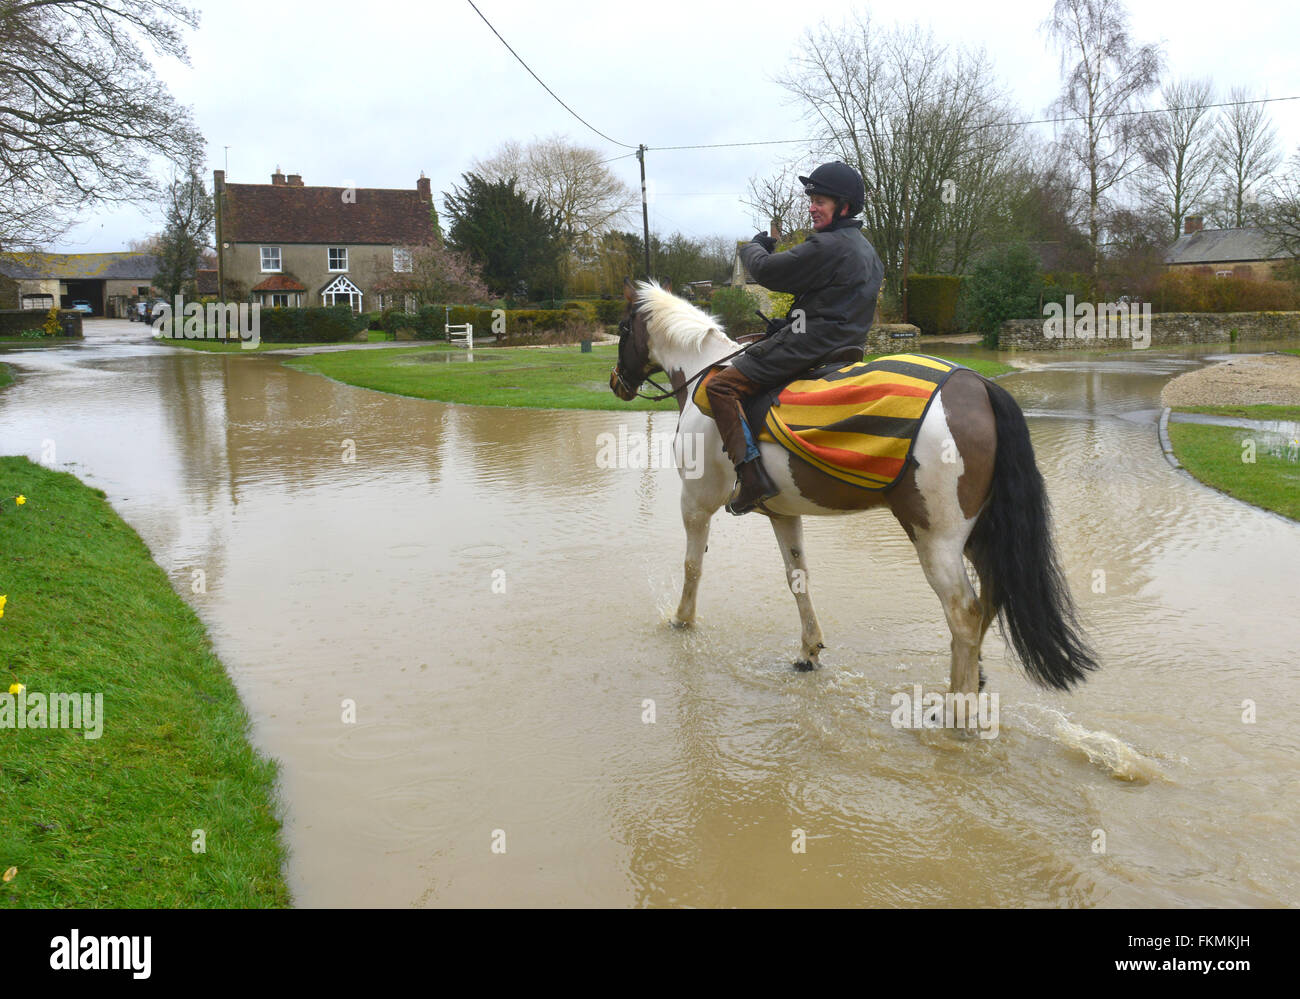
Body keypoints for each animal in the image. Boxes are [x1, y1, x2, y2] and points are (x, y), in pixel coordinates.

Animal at [608, 277, 1097, 707]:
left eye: (623, 329)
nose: (616, 381)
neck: (702, 374)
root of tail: (978, 386)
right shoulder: (783, 514)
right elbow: (798, 578)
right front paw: (808, 651)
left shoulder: (696, 502)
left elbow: (692, 566)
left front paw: (682, 620)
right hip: (979, 536)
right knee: (991, 598)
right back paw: (972, 681)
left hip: (937, 541)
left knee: (965, 614)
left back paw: (958, 711)